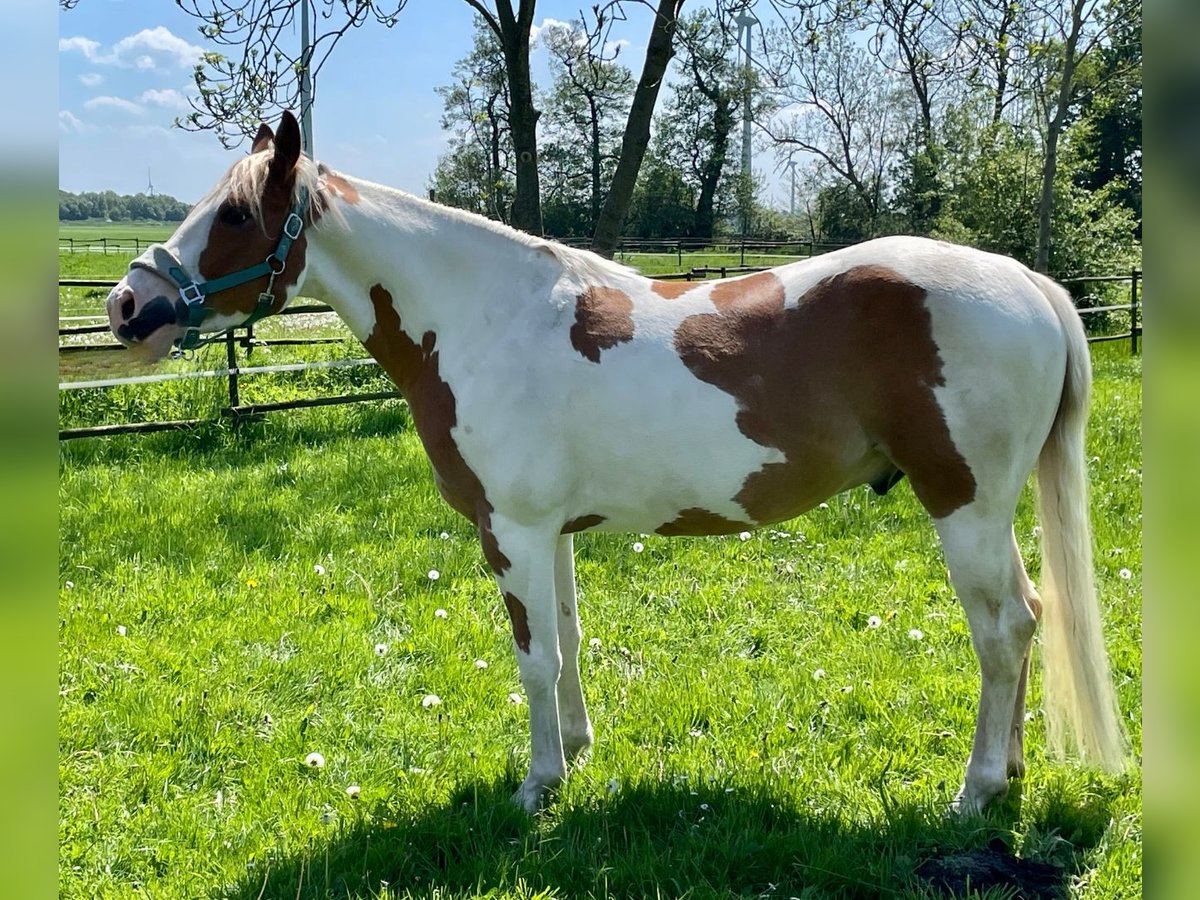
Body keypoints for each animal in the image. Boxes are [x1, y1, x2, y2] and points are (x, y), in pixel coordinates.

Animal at [108, 112, 1128, 816]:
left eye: (235, 213)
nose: (127, 306)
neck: (486, 319)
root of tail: (1029, 283)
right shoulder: (549, 532)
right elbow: (566, 647)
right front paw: (576, 755)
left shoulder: (511, 533)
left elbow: (531, 659)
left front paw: (536, 788)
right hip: (988, 515)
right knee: (1029, 619)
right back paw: (1012, 774)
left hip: (965, 508)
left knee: (1004, 631)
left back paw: (976, 791)